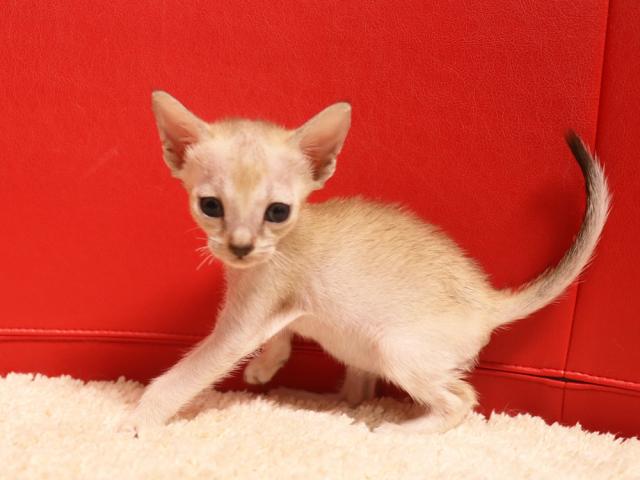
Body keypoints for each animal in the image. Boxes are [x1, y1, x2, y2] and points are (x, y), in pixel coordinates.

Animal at [119, 91, 610, 436]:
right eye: (210, 206)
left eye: (277, 211)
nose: (240, 247)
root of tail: (488, 300)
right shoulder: (270, 309)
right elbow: (281, 336)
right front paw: (265, 366)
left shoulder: (240, 325)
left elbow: (185, 374)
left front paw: (138, 420)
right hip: (359, 345)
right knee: (366, 387)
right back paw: (342, 407)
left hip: (397, 348)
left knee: (461, 399)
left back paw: (395, 431)